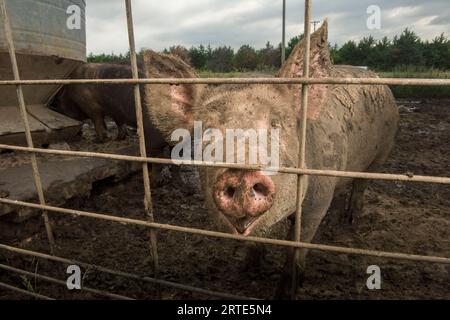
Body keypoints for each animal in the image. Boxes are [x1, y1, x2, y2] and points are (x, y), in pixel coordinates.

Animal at [143, 21, 398, 298]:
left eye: (276, 125)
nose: (241, 174)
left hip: (383, 150)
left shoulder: (316, 203)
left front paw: (287, 292)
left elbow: (297, 247)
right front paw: (246, 270)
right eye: (208, 131)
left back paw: (350, 220)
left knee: (361, 184)